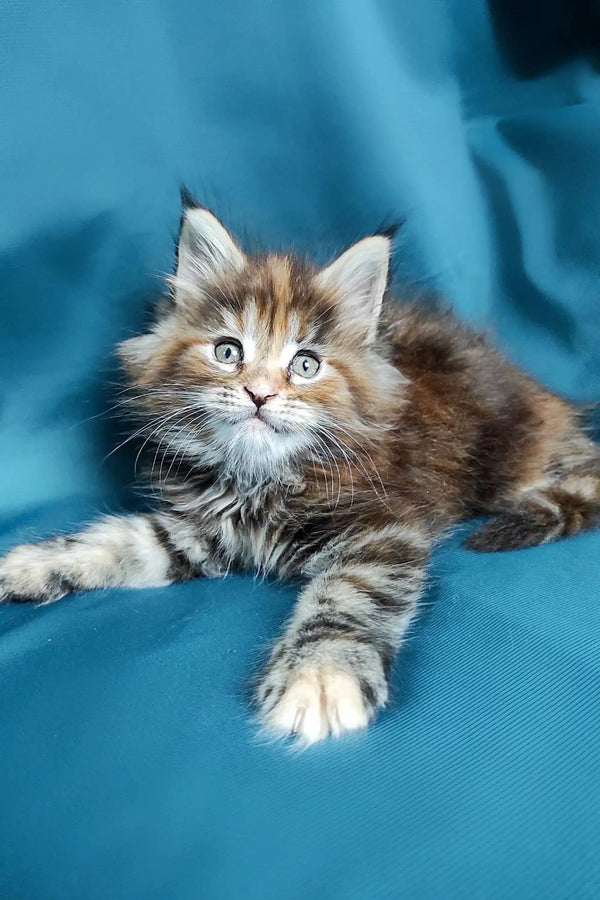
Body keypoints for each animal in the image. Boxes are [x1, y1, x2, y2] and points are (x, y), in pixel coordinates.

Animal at [1, 197, 600, 744]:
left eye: (306, 365)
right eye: (227, 352)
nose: (260, 394)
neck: (255, 480)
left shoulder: (380, 531)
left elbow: (347, 597)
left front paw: (320, 676)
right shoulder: (198, 532)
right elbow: (109, 544)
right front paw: (26, 566)